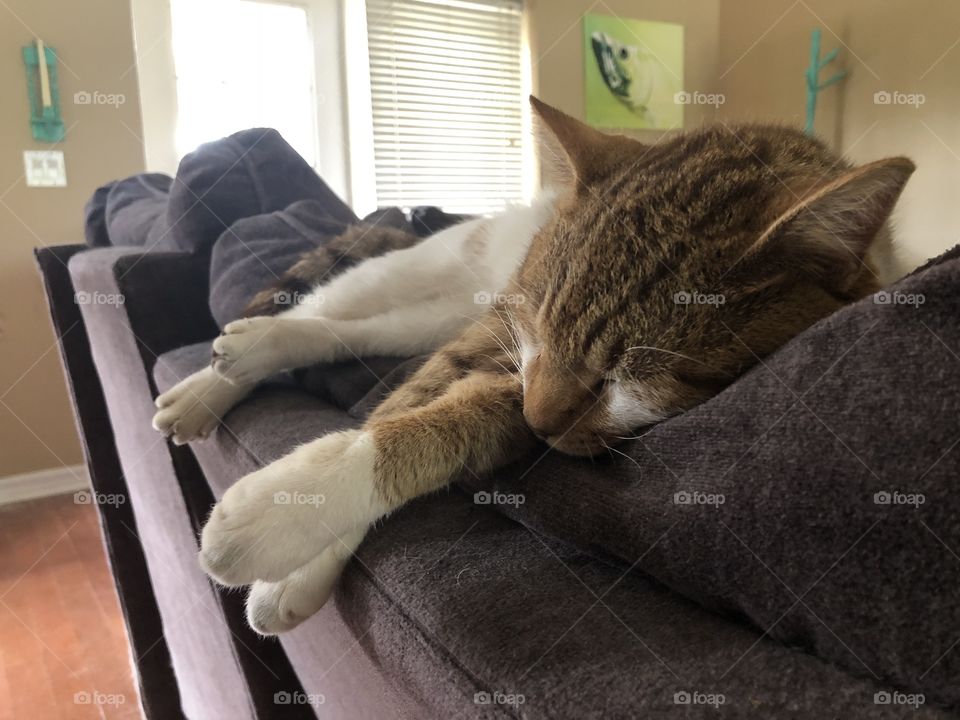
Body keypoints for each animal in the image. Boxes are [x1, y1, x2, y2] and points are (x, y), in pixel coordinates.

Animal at [154, 98, 912, 632]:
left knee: (347, 334)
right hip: (428, 283)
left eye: (628, 376)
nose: (540, 419)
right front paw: (298, 518)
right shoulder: (503, 338)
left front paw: (290, 538)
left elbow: (434, 423)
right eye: (542, 321)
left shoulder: (519, 387)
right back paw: (216, 374)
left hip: (432, 318)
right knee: (321, 314)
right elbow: (396, 409)